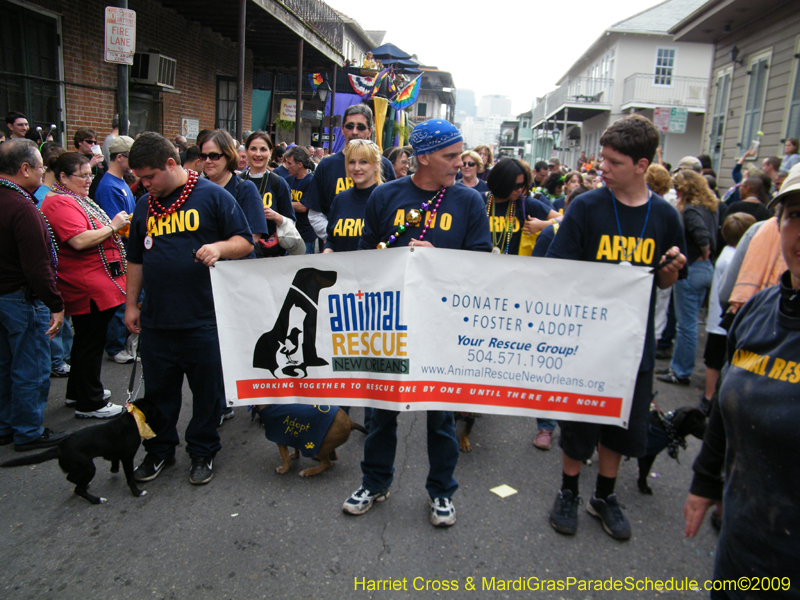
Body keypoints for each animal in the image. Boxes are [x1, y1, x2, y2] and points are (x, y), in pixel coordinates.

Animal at [1, 398, 164, 506]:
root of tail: (60, 447)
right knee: (77, 488)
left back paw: (86, 485)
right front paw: (137, 492)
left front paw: (114, 468)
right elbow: (130, 477)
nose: (163, 417)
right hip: (88, 466)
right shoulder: (127, 457)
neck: (133, 419)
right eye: (156, 410)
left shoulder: (117, 454)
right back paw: (96, 499)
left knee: (72, 479)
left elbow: (114, 460)